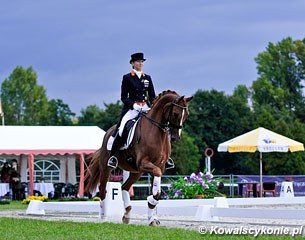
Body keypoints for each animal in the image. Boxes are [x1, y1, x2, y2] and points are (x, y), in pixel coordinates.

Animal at [84, 89, 191, 226]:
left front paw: (152, 218)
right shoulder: (144, 163)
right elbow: (156, 185)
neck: (157, 132)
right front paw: (152, 200)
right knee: (103, 190)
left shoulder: (159, 165)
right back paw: (103, 218)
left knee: (124, 187)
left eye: (186, 114)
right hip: (106, 167)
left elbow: (155, 189)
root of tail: (108, 132)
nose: (176, 138)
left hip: (137, 172)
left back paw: (126, 215)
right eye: (176, 113)